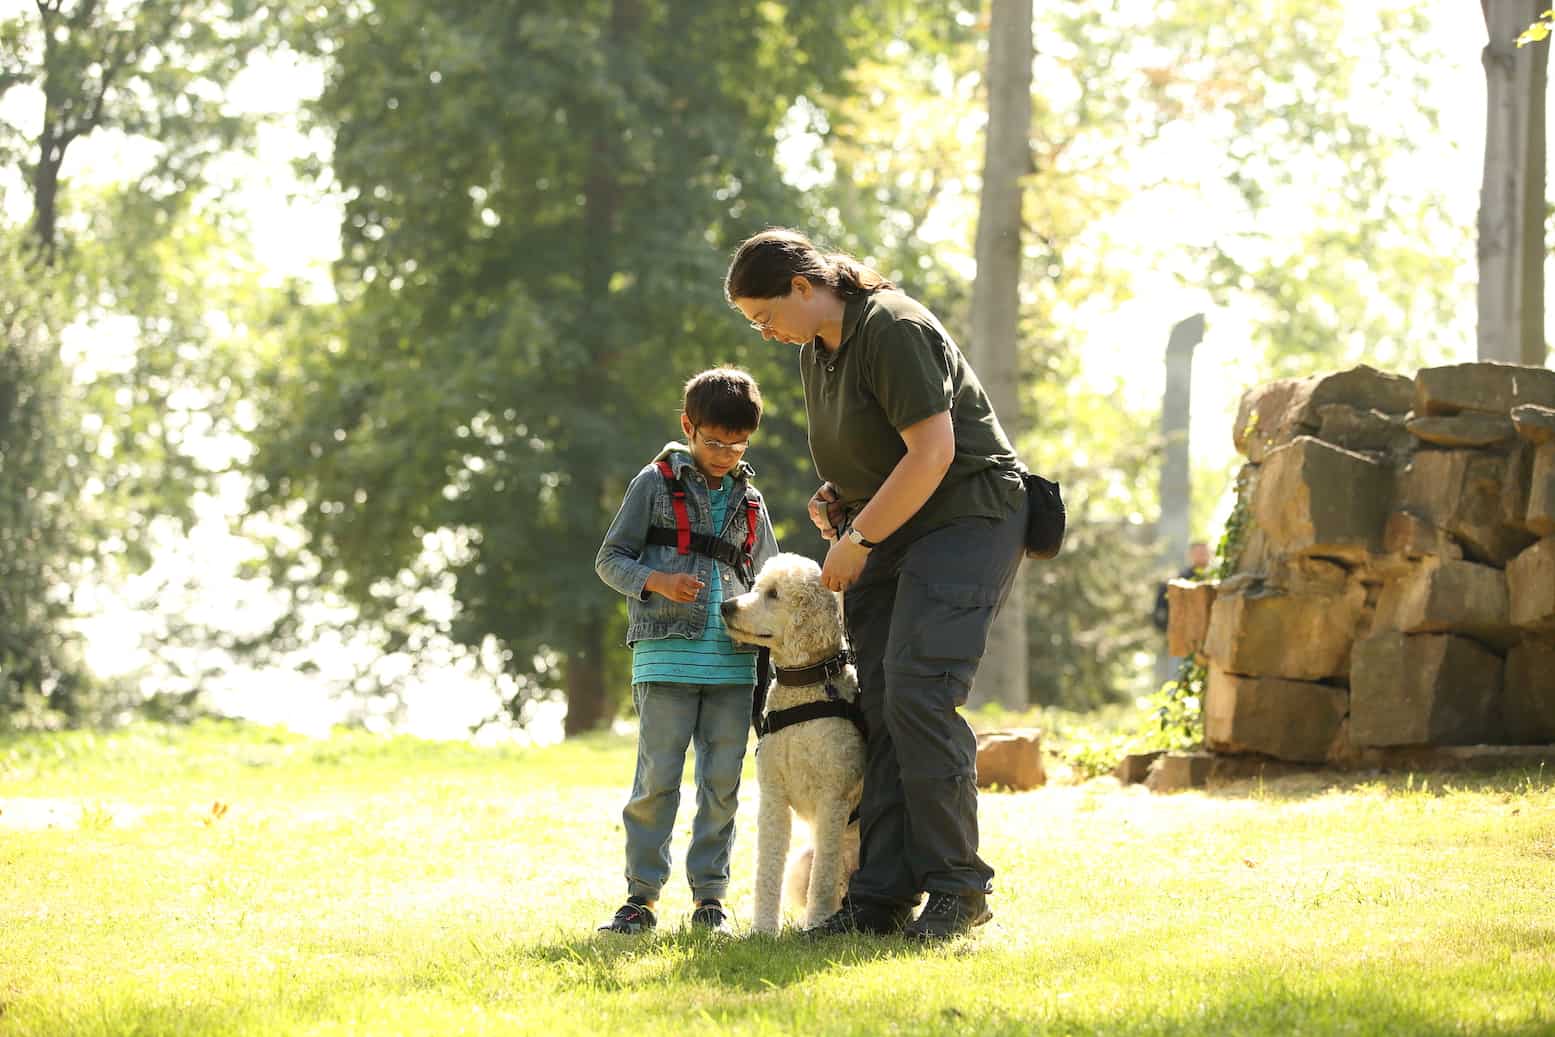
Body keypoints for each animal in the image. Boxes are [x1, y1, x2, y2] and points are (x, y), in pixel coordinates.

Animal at [721, 556, 870, 939]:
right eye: (757, 586)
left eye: (774, 594)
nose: (726, 606)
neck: (804, 688)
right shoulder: (773, 796)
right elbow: (768, 867)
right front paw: (762, 929)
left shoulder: (833, 798)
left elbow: (824, 877)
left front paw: (816, 923)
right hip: (803, 860)